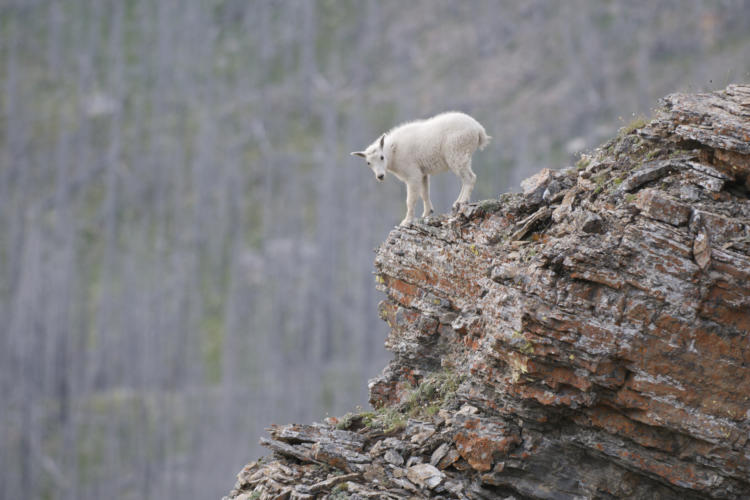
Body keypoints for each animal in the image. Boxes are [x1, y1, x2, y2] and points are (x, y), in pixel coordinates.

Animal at [352, 113, 494, 227]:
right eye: (368, 163)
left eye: (381, 157)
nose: (380, 176)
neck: (393, 152)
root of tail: (478, 130)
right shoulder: (423, 173)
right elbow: (424, 193)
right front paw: (427, 213)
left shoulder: (412, 174)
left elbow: (410, 199)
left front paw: (406, 221)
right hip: (462, 156)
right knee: (465, 179)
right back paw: (457, 203)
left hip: (457, 153)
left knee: (470, 178)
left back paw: (462, 201)